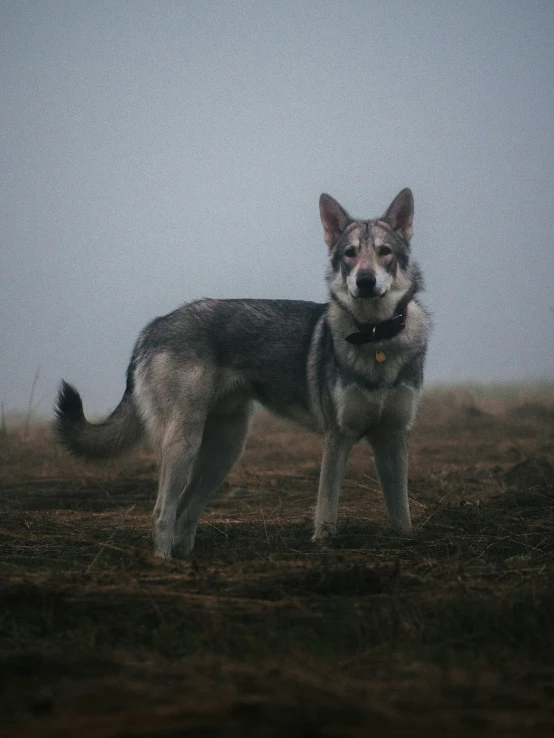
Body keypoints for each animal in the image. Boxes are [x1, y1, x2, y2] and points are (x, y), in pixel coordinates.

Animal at [55, 187, 426, 556]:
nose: (365, 281)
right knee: (163, 512)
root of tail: (152, 328)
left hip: (225, 450)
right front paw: (324, 546)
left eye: (384, 252)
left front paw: (406, 542)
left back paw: (184, 560)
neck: (376, 338)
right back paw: (162, 563)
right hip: (184, 445)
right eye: (350, 254)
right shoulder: (337, 438)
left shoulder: (393, 439)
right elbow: (326, 511)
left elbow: (402, 513)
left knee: (185, 511)